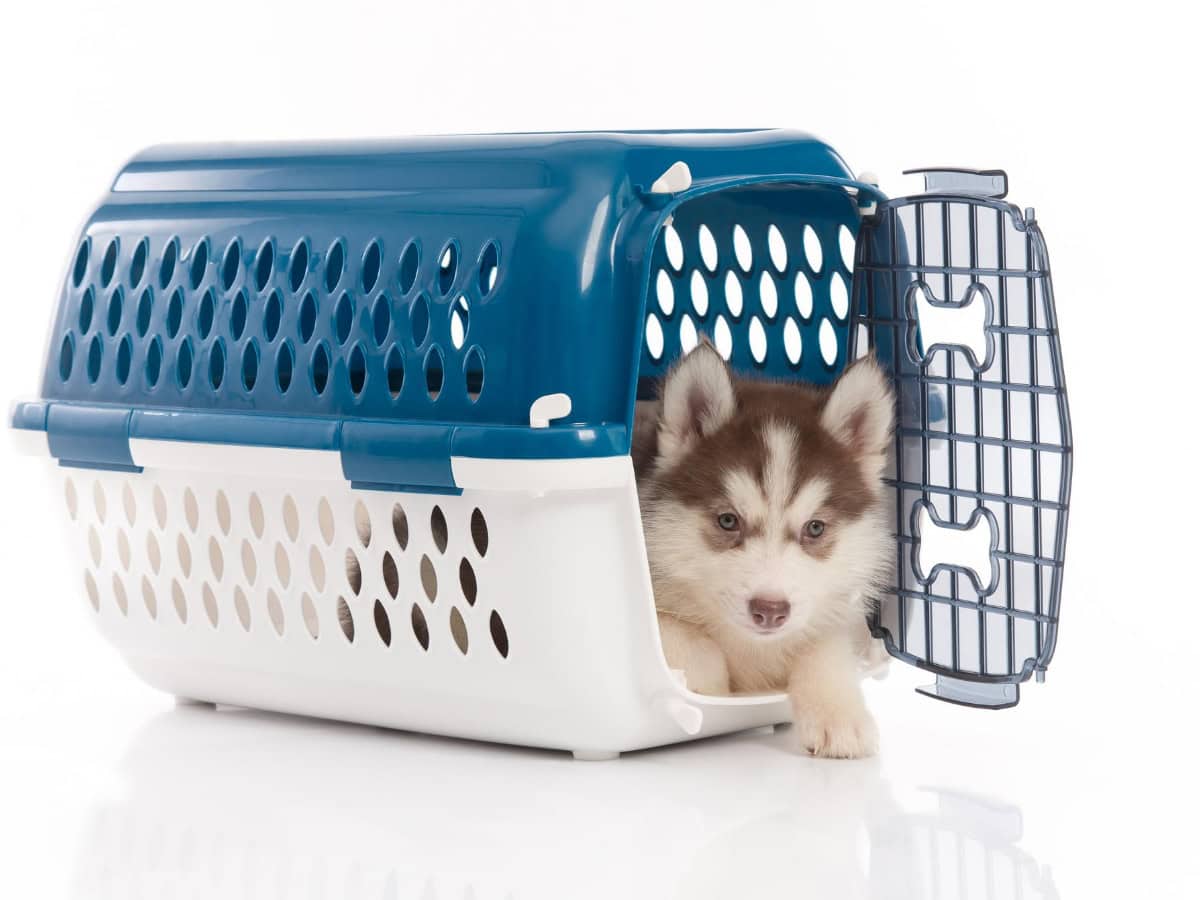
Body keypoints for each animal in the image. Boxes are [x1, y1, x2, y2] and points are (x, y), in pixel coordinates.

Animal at [633, 340, 897, 758]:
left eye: (815, 528)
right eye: (728, 521)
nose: (770, 611)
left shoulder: (836, 609)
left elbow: (825, 647)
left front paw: (838, 715)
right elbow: (678, 632)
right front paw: (705, 689)